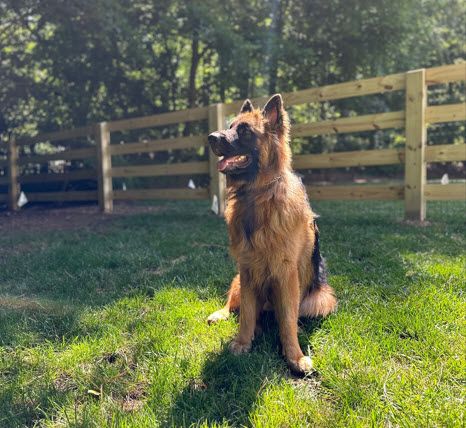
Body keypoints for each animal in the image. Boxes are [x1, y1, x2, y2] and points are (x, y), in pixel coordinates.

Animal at [207, 94, 334, 374]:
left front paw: (294, 356)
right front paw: (242, 343)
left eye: (244, 131)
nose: (211, 137)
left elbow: (286, 319)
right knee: (234, 305)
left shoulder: (286, 275)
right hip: (237, 280)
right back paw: (223, 315)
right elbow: (246, 314)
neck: (257, 195)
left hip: (321, 299)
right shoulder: (247, 270)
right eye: (230, 126)